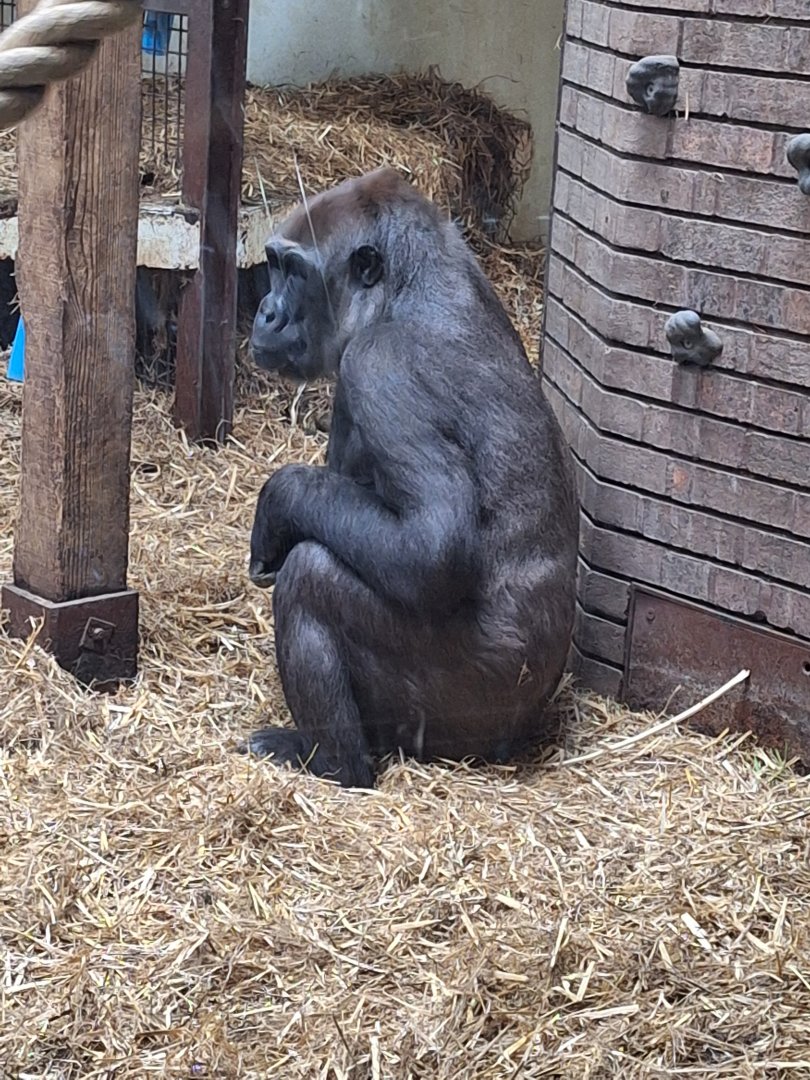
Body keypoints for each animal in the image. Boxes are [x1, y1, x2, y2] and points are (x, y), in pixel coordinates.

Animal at [242, 167, 579, 789]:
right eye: (272, 264)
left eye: (295, 272)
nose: (266, 312)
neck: (403, 289)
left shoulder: (379, 365)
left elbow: (431, 550)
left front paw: (278, 501)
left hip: (464, 714)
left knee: (311, 575)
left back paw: (334, 763)